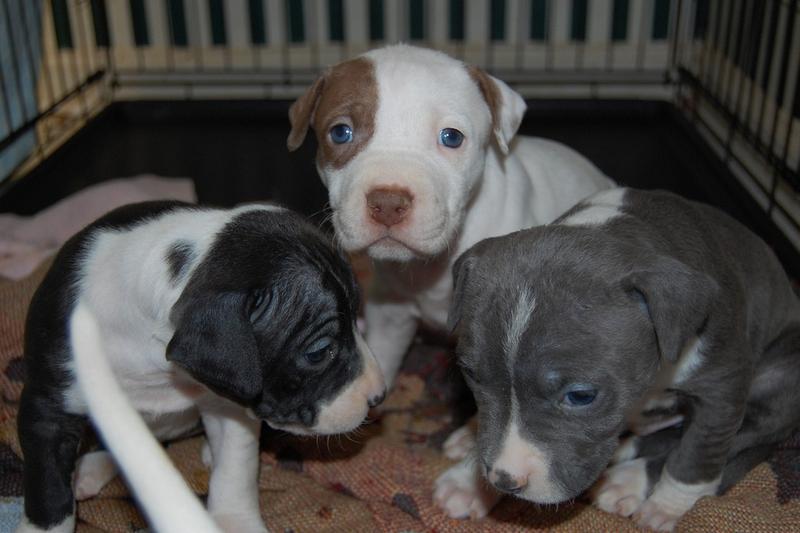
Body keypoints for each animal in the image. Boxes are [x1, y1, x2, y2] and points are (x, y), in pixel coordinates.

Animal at [15, 201, 384, 532]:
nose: (378, 397)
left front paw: (236, 522)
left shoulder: (228, 406)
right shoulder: (46, 412)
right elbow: (48, 489)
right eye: (320, 352)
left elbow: (235, 471)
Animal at [434, 187, 800, 528]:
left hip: (781, 381)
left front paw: (668, 506)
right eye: (471, 374)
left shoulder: (723, 390)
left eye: (581, 396)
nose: (505, 479)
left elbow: (696, 458)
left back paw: (630, 480)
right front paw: (468, 481)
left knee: (734, 439)